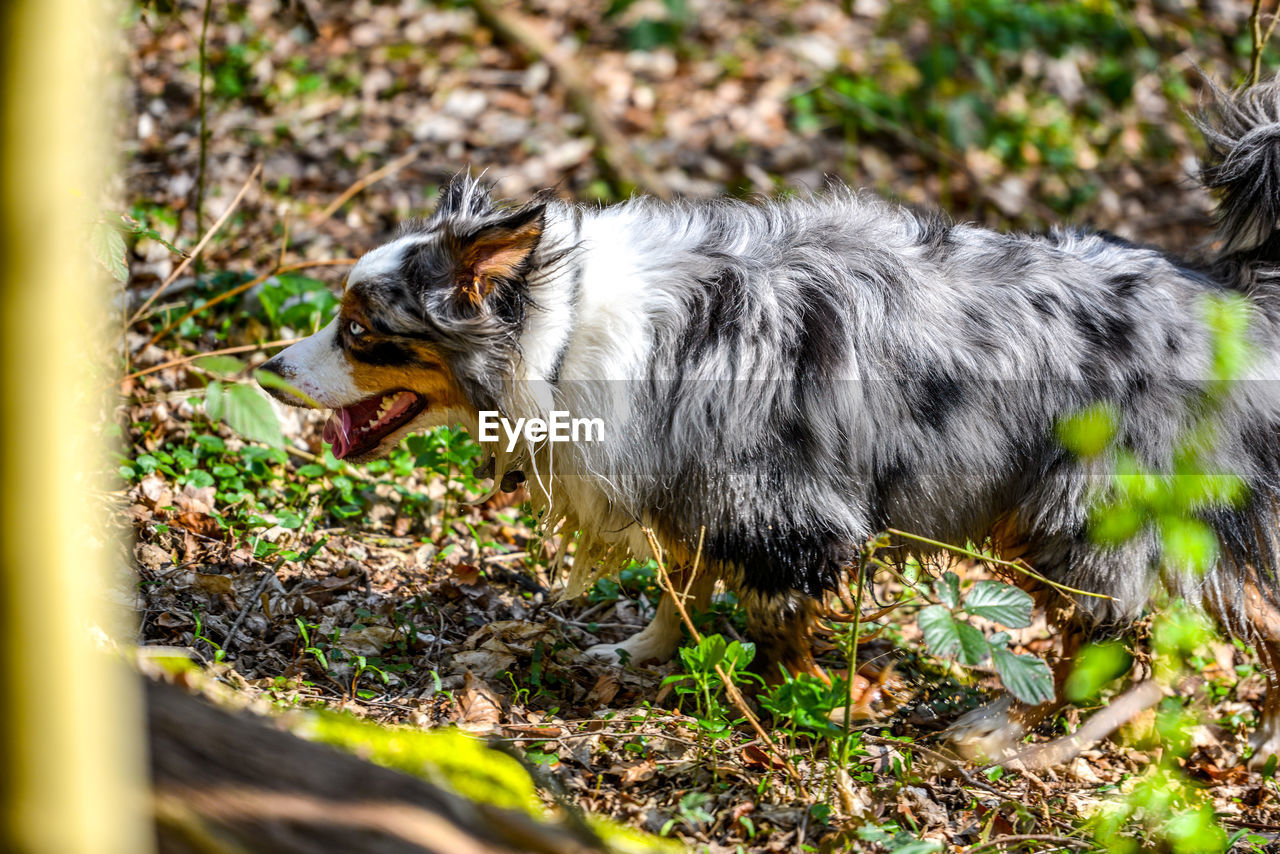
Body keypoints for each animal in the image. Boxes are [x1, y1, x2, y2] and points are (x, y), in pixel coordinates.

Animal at [257, 78, 1280, 763]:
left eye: (359, 330)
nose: (266, 370)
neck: (559, 331)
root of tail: (1228, 301)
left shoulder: (781, 510)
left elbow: (772, 615)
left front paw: (812, 700)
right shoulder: (689, 479)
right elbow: (679, 583)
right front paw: (645, 653)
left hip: (1075, 515)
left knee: (1098, 637)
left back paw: (1000, 728)